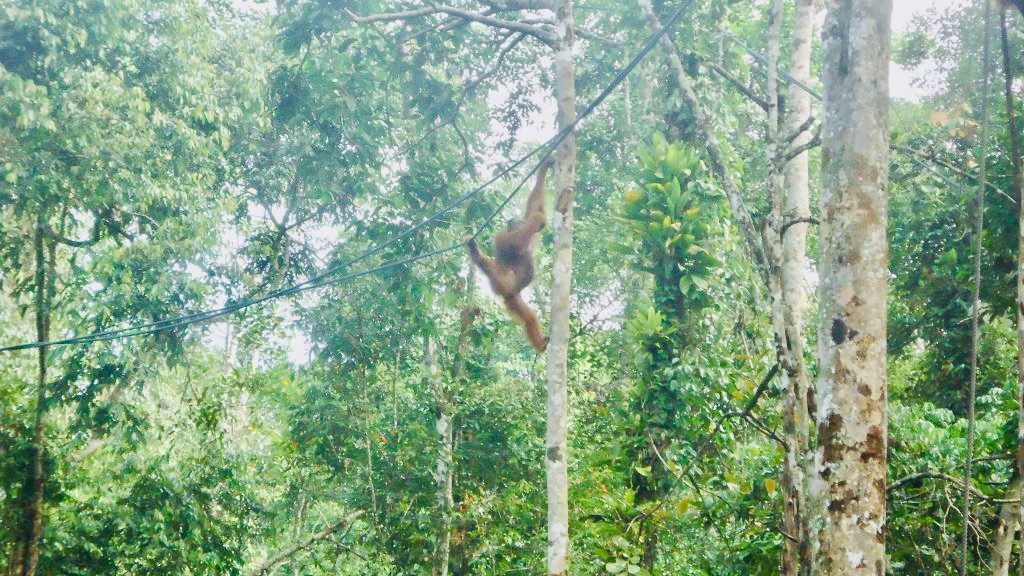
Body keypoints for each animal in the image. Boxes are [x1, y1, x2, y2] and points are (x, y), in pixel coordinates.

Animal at [466, 158, 553, 352]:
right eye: (514, 224)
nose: (514, 223)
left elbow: (534, 204)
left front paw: (545, 164)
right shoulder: (503, 237)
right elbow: (515, 242)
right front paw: (538, 220)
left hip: (513, 297)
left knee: (529, 317)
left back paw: (540, 342)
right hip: (504, 282)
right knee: (497, 270)